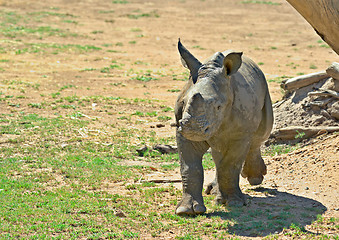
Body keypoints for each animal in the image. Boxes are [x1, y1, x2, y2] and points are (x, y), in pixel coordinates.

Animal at [175, 39, 274, 216]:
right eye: (184, 102)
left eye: (219, 107)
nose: (191, 129)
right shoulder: (182, 129)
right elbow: (189, 167)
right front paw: (187, 210)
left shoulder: (240, 134)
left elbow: (230, 165)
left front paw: (234, 203)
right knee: (218, 152)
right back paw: (215, 191)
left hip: (264, 89)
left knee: (259, 135)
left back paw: (255, 178)